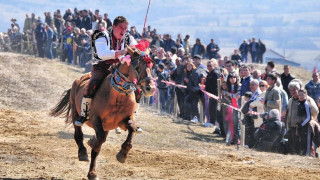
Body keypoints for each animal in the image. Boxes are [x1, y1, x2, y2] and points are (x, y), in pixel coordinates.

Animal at [49, 45, 156, 179]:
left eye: (151, 67)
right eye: (137, 66)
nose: (150, 88)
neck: (117, 96)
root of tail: (79, 79)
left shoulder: (124, 121)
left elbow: (131, 129)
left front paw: (122, 154)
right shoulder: (96, 120)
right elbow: (98, 145)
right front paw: (92, 173)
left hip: (107, 125)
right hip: (75, 112)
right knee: (79, 134)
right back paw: (82, 152)